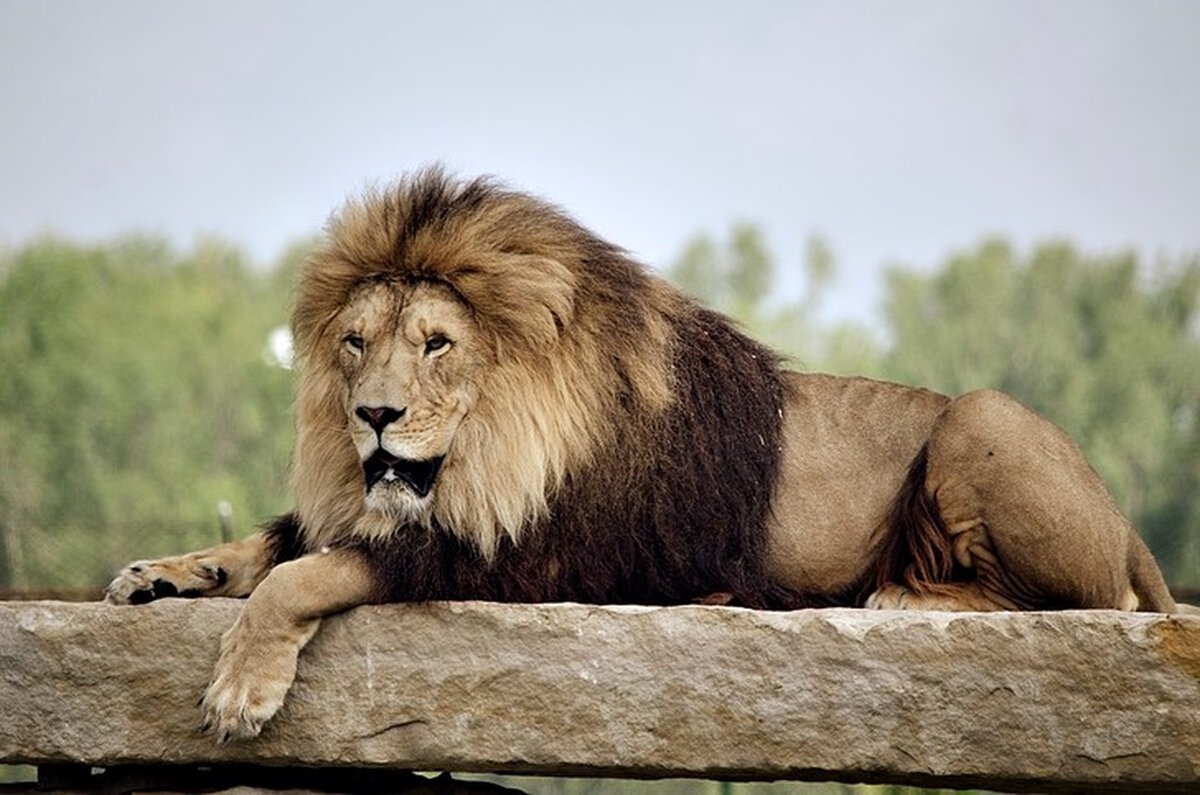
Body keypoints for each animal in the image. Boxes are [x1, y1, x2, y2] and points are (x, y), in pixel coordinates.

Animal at [108, 166, 1176, 739]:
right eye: (356, 342)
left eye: (437, 343)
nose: (372, 414)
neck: (491, 444)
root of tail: (1128, 525)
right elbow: (272, 544)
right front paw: (162, 573)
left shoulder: (520, 556)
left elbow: (310, 573)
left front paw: (240, 689)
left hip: (984, 417)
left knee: (1082, 600)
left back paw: (906, 594)